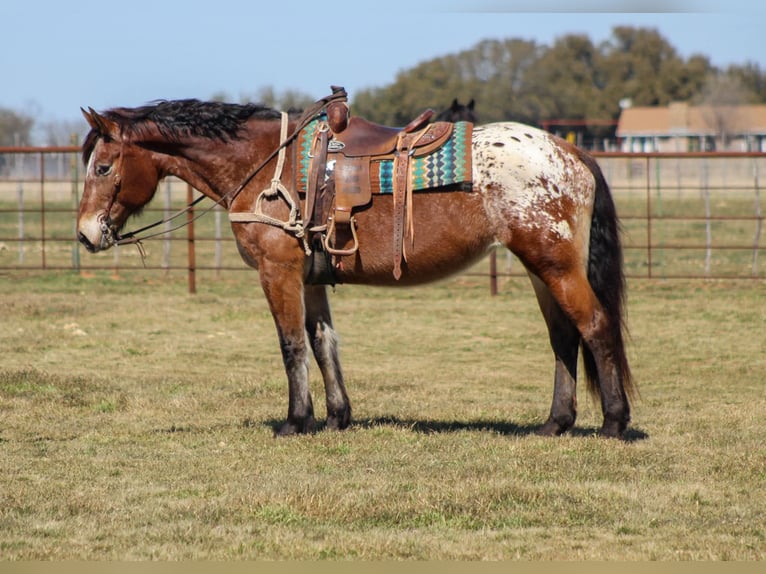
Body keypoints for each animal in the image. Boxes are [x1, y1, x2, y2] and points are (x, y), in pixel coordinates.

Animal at [77, 92, 635, 439]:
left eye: (103, 167)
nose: (85, 233)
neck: (266, 163)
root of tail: (571, 152)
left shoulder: (277, 272)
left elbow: (291, 344)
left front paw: (295, 420)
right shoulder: (309, 278)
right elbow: (323, 341)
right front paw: (336, 417)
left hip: (555, 266)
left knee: (594, 326)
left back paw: (613, 422)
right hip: (543, 269)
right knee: (563, 338)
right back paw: (555, 423)